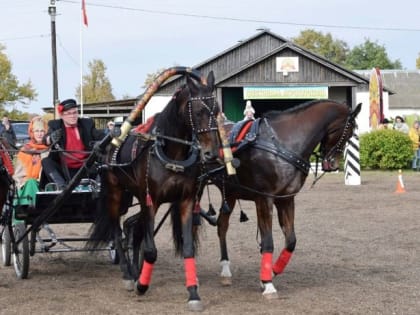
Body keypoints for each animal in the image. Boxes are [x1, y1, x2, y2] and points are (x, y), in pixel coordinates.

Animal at [88, 68, 220, 312]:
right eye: (198, 111)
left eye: (216, 110)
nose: (212, 153)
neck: (171, 153)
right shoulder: (151, 201)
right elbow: (151, 250)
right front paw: (142, 285)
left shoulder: (186, 201)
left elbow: (188, 248)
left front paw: (193, 293)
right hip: (116, 194)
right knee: (116, 231)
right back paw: (128, 275)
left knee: (132, 228)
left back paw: (135, 269)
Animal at [212, 100, 362, 298]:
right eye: (349, 132)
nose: (333, 164)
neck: (282, 142)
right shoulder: (264, 199)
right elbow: (268, 242)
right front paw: (268, 284)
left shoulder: (286, 199)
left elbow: (290, 241)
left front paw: (271, 272)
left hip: (229, 192)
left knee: (222, 225)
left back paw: (225, 270)